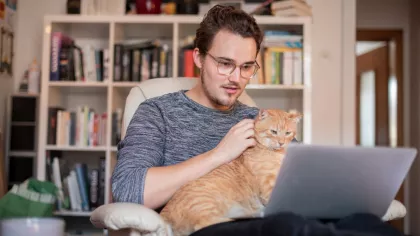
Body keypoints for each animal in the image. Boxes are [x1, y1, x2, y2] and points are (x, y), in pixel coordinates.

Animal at [158, 109, 302, 236]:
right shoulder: (268, 185)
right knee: (205, 224)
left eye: (288, 133)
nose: (281, 143)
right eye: (273, 131)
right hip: (205, 204)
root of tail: (164, 214)